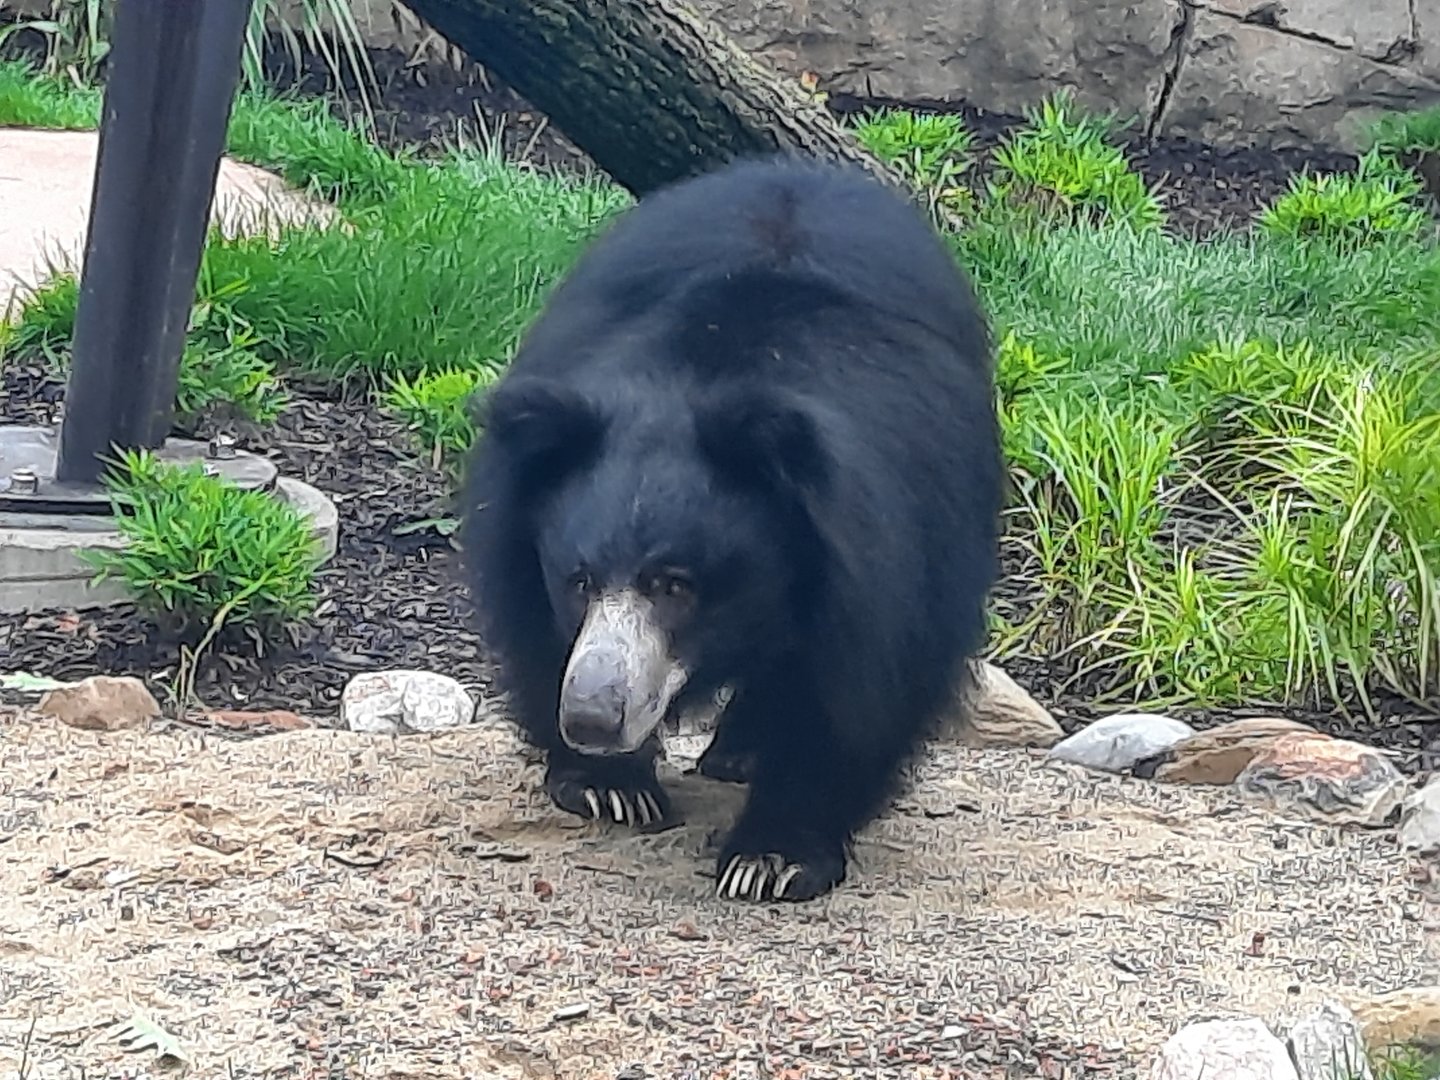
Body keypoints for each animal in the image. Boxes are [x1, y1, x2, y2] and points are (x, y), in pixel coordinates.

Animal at [459, 155, 1003, 903]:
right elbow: (536, 633)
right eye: (579, 580)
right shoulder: (518, 529)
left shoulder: (895, 541)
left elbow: (859, 690)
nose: (594, 718)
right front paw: (609, 788)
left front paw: (772, 857)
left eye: (675, 585)